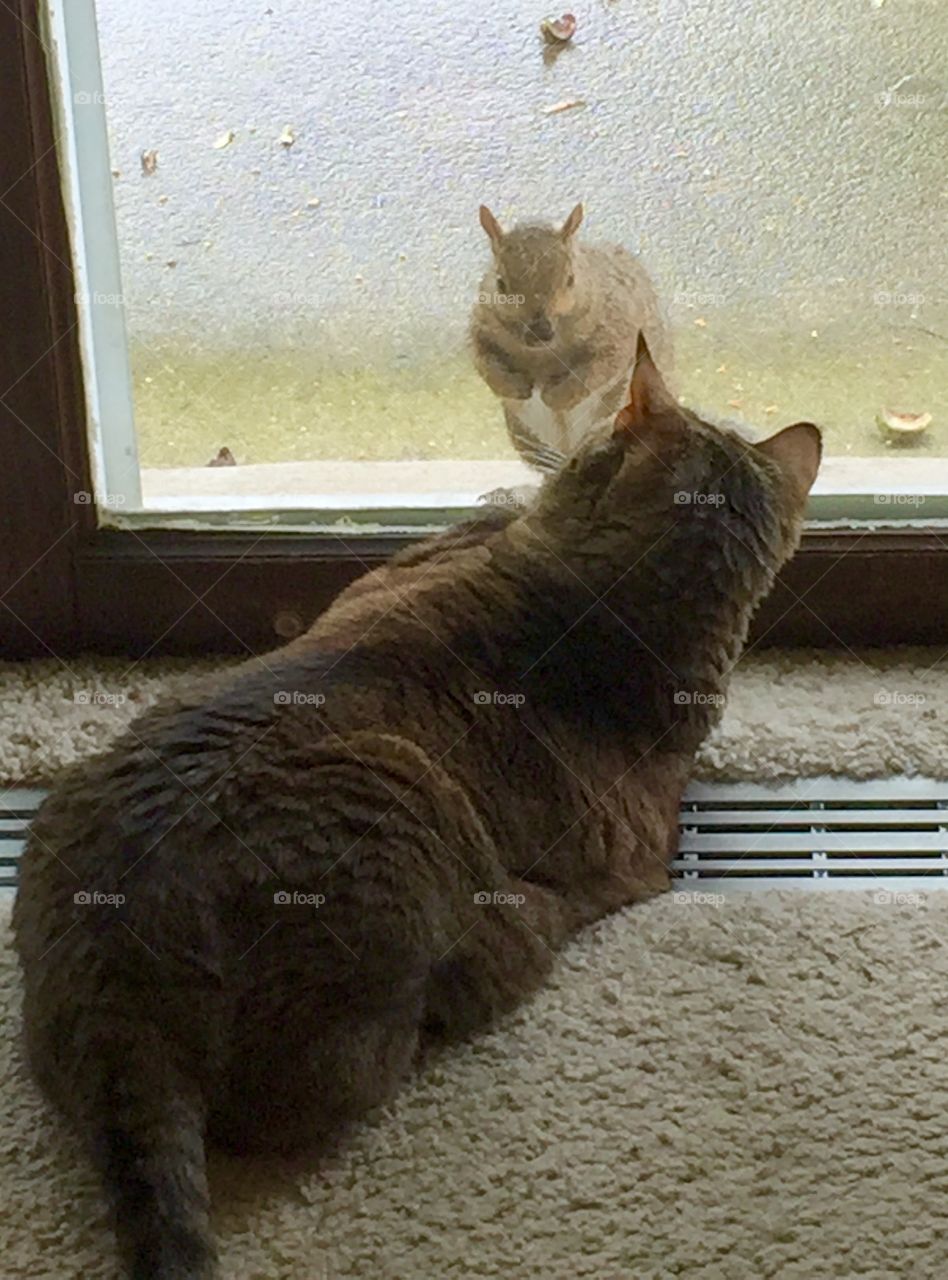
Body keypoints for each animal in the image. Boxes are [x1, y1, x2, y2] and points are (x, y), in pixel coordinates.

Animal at [470, 203, 672, 473]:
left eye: (570, 279)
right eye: (500, 283)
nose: (540, 332)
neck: (541, 354)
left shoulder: (618, 331)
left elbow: (595, 371)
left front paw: (554, 398)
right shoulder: (480, 328)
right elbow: (485, 363)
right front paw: (515, 388)